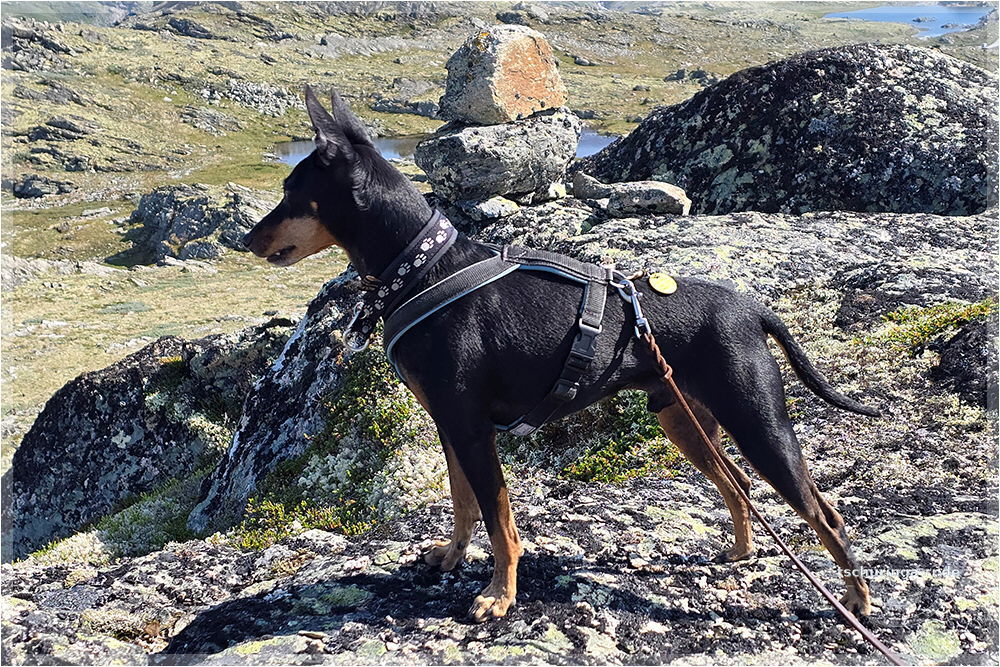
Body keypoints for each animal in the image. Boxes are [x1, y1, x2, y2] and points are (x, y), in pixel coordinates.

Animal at [243, 87, 878, 622]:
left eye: (290, 196)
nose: (247, 239)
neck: (423, 266)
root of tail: (751, 308)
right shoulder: (451, 424)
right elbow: (463, 504)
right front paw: (451, 558)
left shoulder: (473, 428)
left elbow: (499, 518)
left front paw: (499, 596)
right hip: (683, 418)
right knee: (738, 484)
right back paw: (742, 552)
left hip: (756, 420)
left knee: (824, 510)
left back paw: (856, 599)